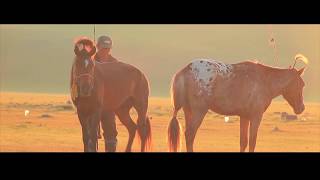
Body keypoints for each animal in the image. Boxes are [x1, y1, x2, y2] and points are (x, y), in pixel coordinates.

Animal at [168, 57, 304, 152]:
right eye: (302, 84)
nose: (301, 108)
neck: (265, 80)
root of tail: (185, 70)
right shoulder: (256, 117)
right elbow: (252, 142)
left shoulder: (244, 117)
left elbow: (243, 142)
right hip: (198, 112)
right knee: (190, 135)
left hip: (188, 111)